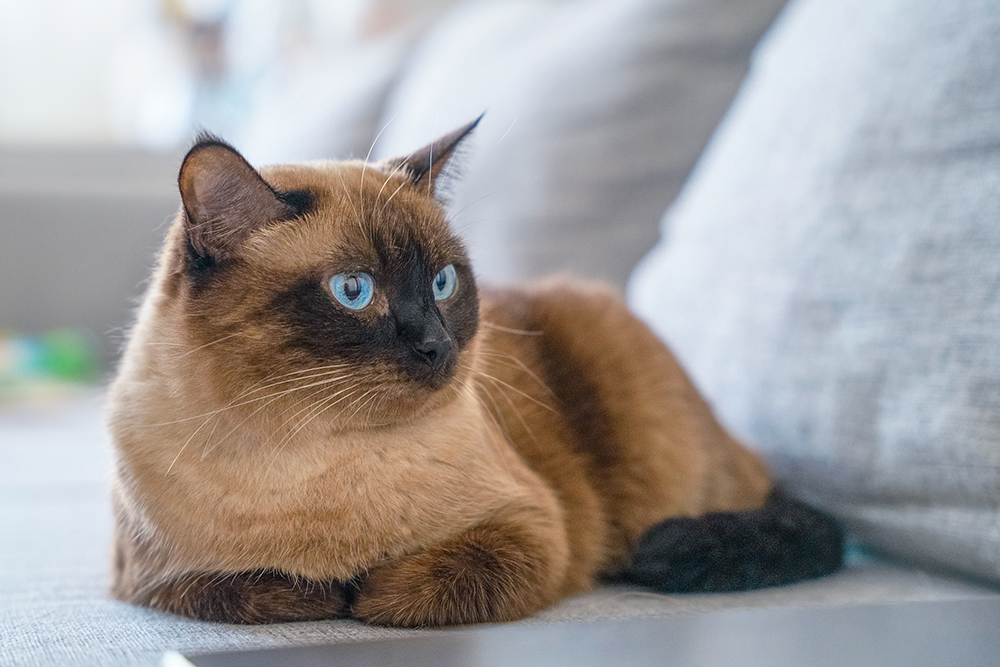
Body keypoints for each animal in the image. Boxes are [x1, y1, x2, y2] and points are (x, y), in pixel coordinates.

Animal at [107, 118, 844, 628]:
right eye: (354, 290)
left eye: (443, 281)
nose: (438, 346)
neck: (313, 455)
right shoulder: (158, 579)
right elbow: (260, 589)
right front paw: (325, 588)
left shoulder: (531, 529)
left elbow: (414, 588)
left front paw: (367, 590)